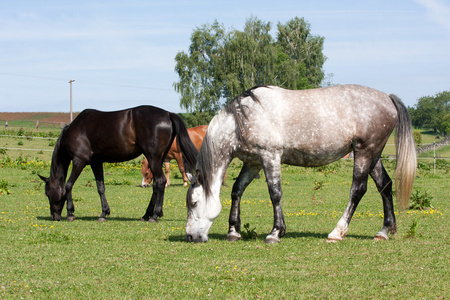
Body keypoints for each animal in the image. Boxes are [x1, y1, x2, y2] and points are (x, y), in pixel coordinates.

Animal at [185, 85, 416, 244]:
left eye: (193, 203)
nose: (190, 236)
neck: (241, 119)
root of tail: (388, 98)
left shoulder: (270, 157)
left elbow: (275, 193)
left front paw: (275, 233)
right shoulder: (253, 163)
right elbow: (237, 190)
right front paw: (233, 231)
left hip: (364, 153)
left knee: (358, 190)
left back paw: (337, 232)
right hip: (373, 155)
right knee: (385, 186)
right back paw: (384, 231)